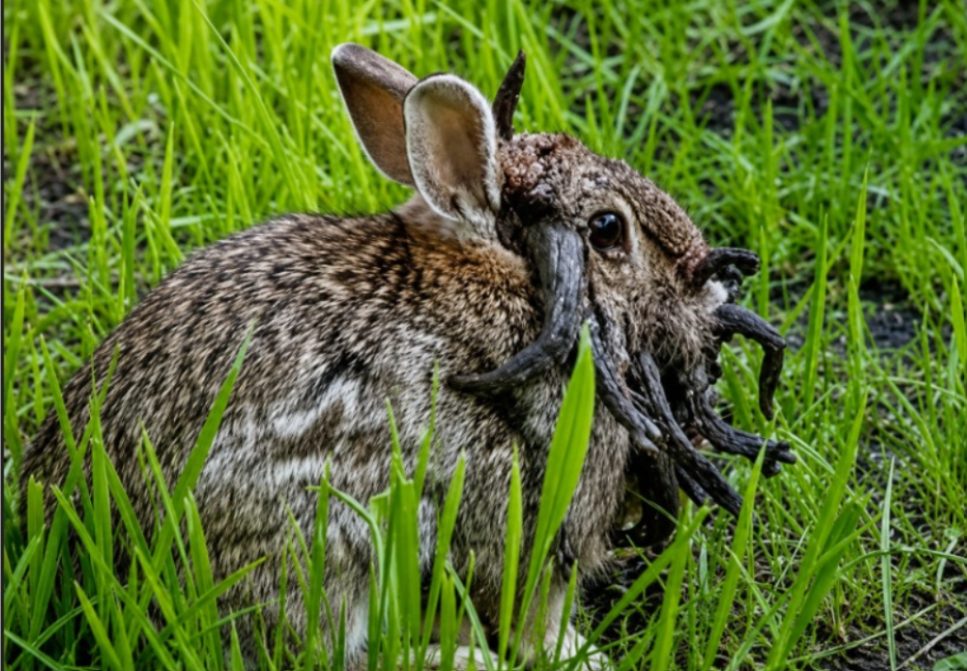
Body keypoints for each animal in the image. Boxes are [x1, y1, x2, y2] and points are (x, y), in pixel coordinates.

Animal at [21, 43, 793, 668]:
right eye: (607, 229)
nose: (712, 287)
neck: (523, 282)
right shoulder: (527, 508)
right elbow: (530, 613)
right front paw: (580, 656)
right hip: (328, 540)